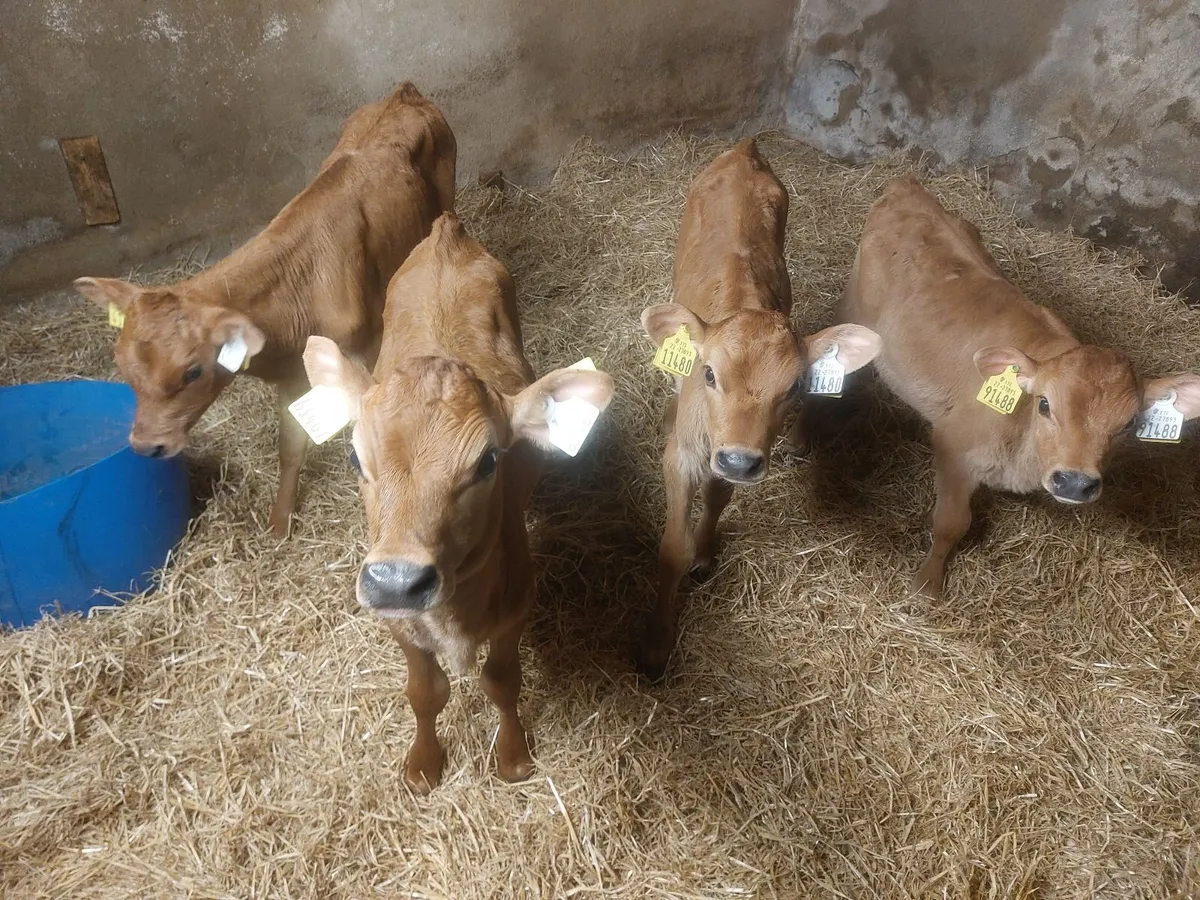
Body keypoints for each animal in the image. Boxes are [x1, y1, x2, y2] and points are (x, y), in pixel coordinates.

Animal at [73, 82, 457, 537]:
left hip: (447, 190)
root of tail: (403, 92)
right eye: (121, 365)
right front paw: (279, 523)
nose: (147, 446)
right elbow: (290, 447)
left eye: (192, 372)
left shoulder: (369, 345)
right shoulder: (292, 376)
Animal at [302, 213, 613, 793]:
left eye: (489, 461)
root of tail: (446, 231)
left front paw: (513, 758)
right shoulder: (399, 623)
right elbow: (426, 694)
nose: (396, 580)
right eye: (355, 457)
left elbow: (502, 682)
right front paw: (423, 767)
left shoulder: (517, 606)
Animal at [638, 138, 882, 679]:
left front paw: (706, 554)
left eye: (794, 387)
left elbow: (718, 501)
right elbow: (670, 548)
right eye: (708, 374)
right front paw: (655, 646)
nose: (737, 460)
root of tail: (743, 149)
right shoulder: (682, 455)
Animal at [842, 175, 1200, 599]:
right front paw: (927, 583)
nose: (1075, 482)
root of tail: (907, 186)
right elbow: (950, 524)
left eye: (1129, 423)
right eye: (1044, 404)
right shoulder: (953, 446)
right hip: (854, 312)